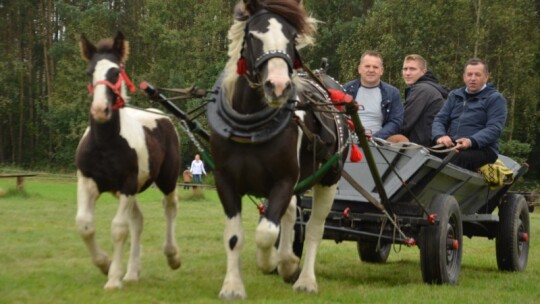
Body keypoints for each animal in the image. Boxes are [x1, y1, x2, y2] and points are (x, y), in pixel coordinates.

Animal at [75, 32, 182, 290]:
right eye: (89, 72)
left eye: (115, 72)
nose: (100, 109)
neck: (105, 144)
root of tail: (163, 117)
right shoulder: (87, 181)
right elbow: (84, 224)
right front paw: (104, 264)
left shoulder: (126, 183)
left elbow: (118, 229)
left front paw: (113, 278)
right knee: (138, 220)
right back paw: (132, 273)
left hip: (166, 179)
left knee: (170, 207)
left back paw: (172, 256)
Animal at [207, 0, 350, 300]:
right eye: (253, 36)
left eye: (292, 38)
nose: (279, 86)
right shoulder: (225, 180)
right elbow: (235, 236)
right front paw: (232, 286)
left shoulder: (284, 180)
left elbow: (266, 232)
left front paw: (275, 262)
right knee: (292, 212)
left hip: (329, 178)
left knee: (314, 228)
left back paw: (304, 278)